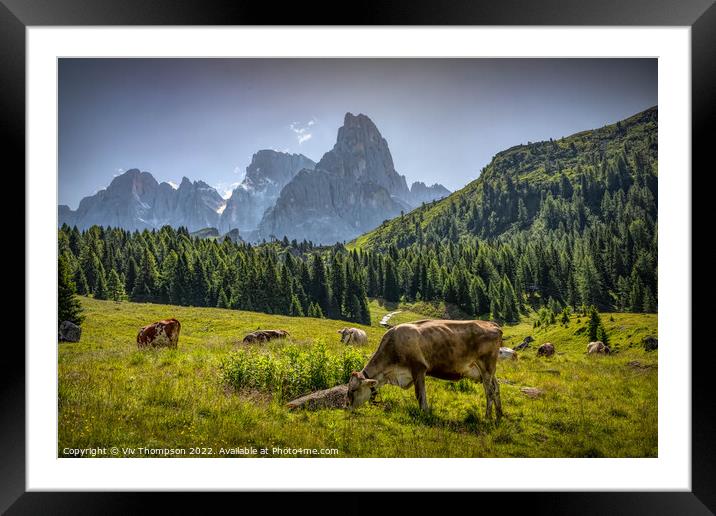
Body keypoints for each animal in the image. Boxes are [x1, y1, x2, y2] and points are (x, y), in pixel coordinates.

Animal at [346, 318, 504, 424]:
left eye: (353, 390)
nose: (346, 406)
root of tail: (492, 325)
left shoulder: (419, 368)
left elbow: (420, 395)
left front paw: (425, 412)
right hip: (490, 371)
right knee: (496, 388)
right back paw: (499, 415)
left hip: (486, 367)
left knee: (489, 391)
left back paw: (487, 418)